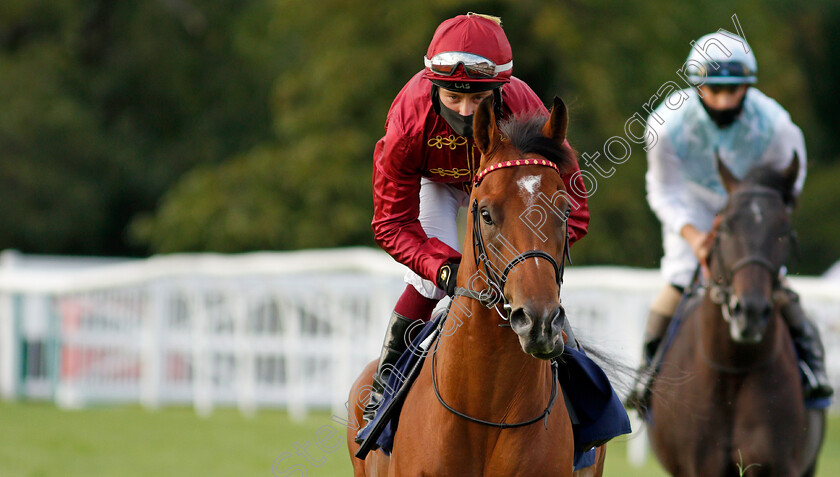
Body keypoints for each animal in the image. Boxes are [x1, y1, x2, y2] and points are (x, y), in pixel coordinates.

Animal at [648, 156, 828, 476]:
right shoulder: (698, 466)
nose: (751, 312)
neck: (734, 368)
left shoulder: (780, 464)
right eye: (726, 226)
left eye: (784, 231)